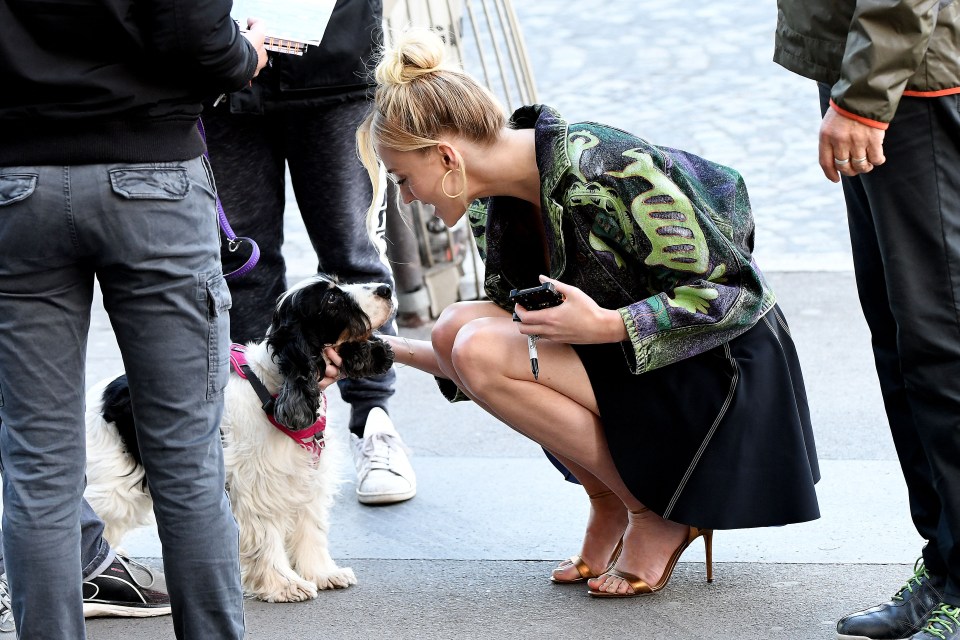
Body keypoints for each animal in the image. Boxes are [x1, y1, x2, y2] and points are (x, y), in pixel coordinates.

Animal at [83, 274, 394, 600]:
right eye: (331, 299)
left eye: (338, 284)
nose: (386, 289)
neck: (275, 388)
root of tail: (94, 397)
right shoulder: (259, 484)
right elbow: (267, 537)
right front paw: (284, 585)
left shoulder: (307, 477)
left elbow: (311, 529)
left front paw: (323, 573)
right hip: (113, 487)